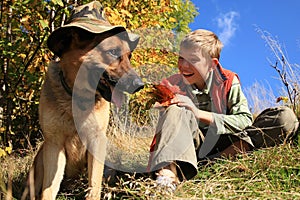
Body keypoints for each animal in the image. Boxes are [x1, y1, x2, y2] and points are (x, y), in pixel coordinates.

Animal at [24, 1, 144, 198]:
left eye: (129, 56)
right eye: (112, 52)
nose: (140, 85)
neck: (77, 95)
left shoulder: (97, 140)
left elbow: (94, 185)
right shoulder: (54, 145)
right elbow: (49, 189)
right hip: (41, 158)